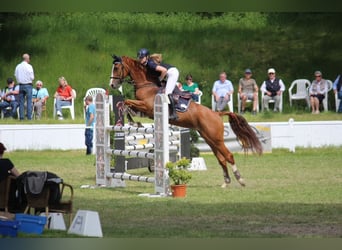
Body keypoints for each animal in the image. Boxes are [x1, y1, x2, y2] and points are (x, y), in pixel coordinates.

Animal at [109, 55, 262, 188]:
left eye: (116, 67)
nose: (112, 84)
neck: (146, 84)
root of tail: (216, 113)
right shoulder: (144, 109)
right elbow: (128, 105)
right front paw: (134, 122)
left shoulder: (147, 107)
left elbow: (126, 101)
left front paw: (133, 121)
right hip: (209, 139)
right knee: (221, 158)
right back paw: (226, 182)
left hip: (216, 139)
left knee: (228, 156)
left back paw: (240, 180)